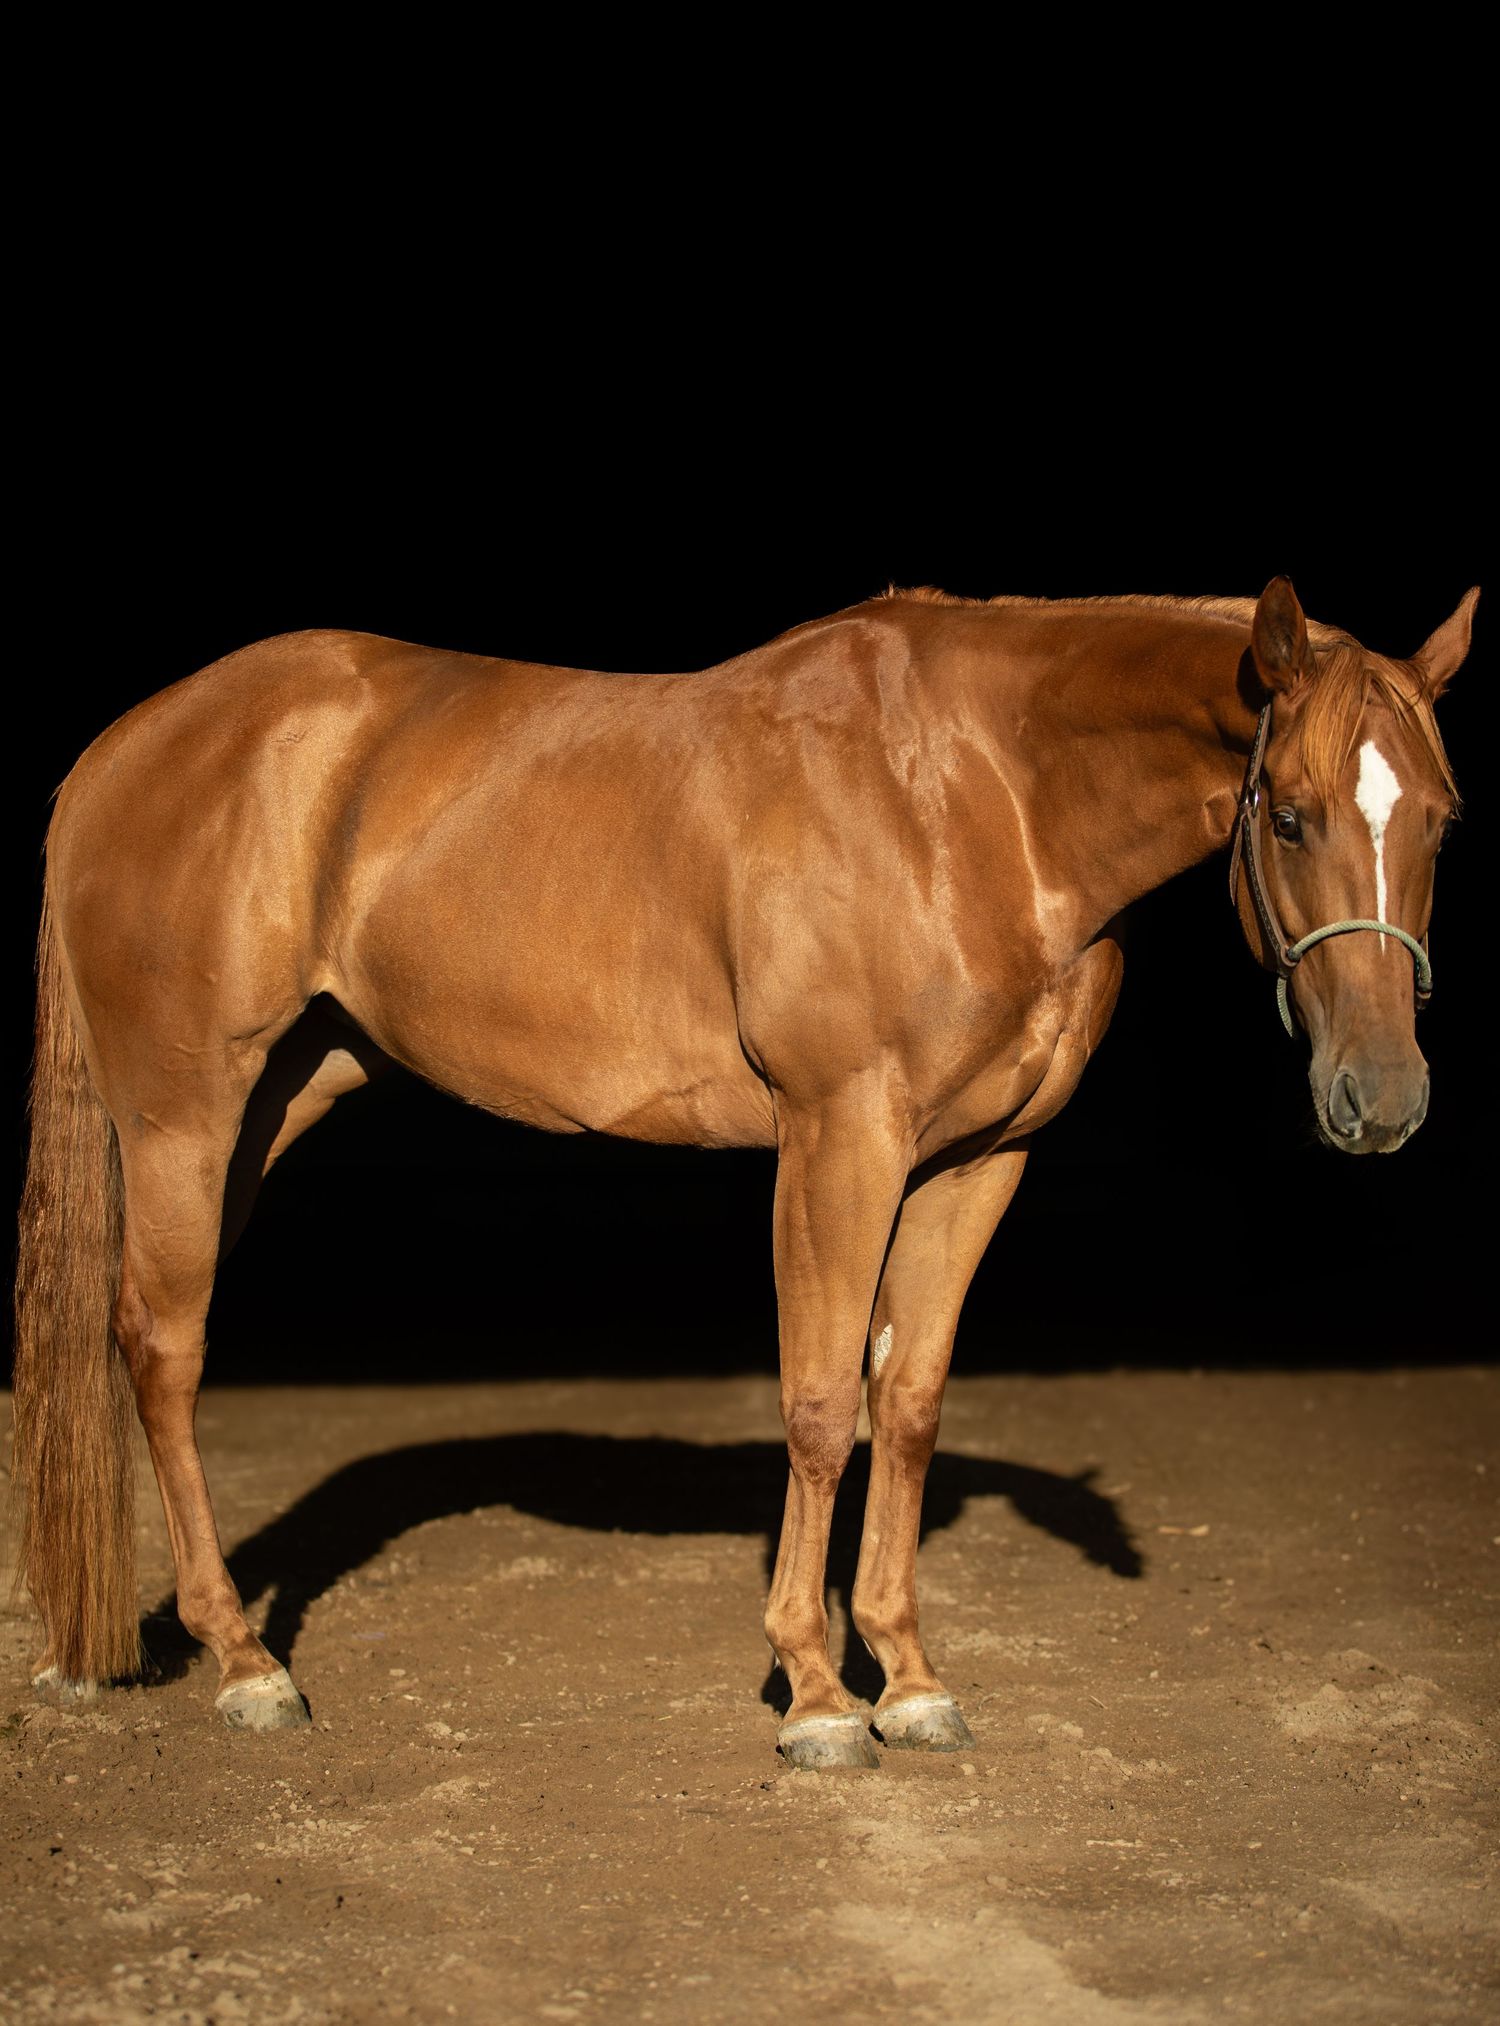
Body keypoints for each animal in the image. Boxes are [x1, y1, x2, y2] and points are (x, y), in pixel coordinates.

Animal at [11, 575, 1476, 1769]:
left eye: (1441, 821)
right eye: (1292, 817)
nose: (1382, 1098)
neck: (976, 797)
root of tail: (121, 749)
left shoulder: (977, 1162)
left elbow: (909, 1401)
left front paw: (911, 1679)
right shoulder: (840, 1140)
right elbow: (822, 1403)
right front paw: (819, 1693)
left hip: (281, 1097)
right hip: (185, 1114)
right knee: (163, 1347)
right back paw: (245, 1663)